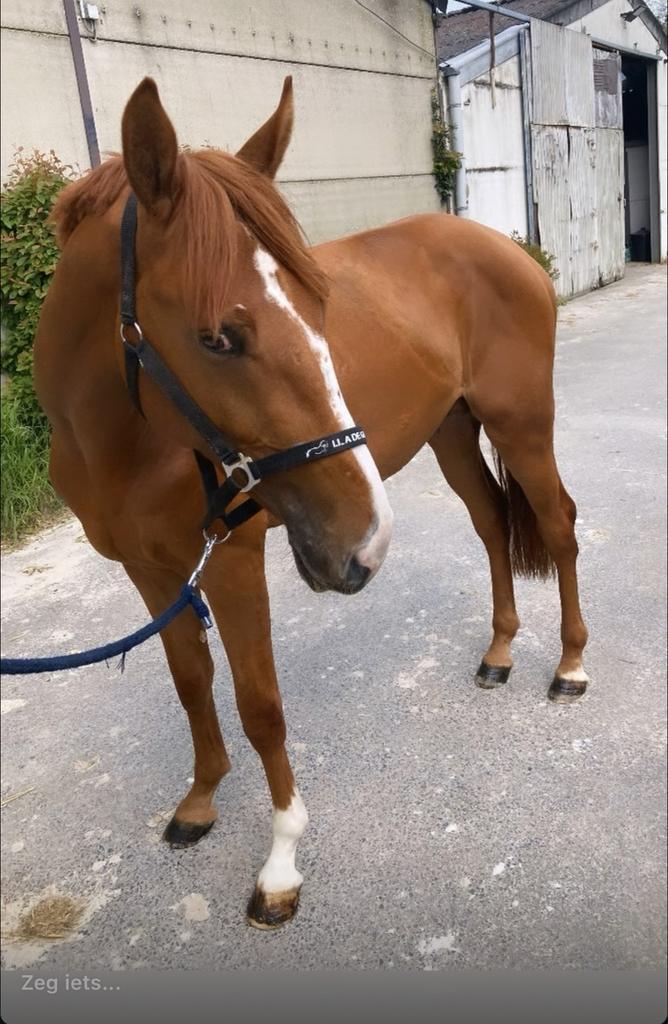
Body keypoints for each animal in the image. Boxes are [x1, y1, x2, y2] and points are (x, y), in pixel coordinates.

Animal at [33, 76, 588, 930]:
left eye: (321, 304)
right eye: (217, 337)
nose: (363, 544)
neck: (122, 438)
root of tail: (508, 250)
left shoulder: (230, 559)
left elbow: (260, 705)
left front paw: (280, 865)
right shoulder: (150, 572)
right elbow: (191, 681)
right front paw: (200, 802)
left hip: (521, 423)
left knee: (558, 527)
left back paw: (568, 666)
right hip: (453, 433)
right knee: (494, 524)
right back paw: (498, 655)